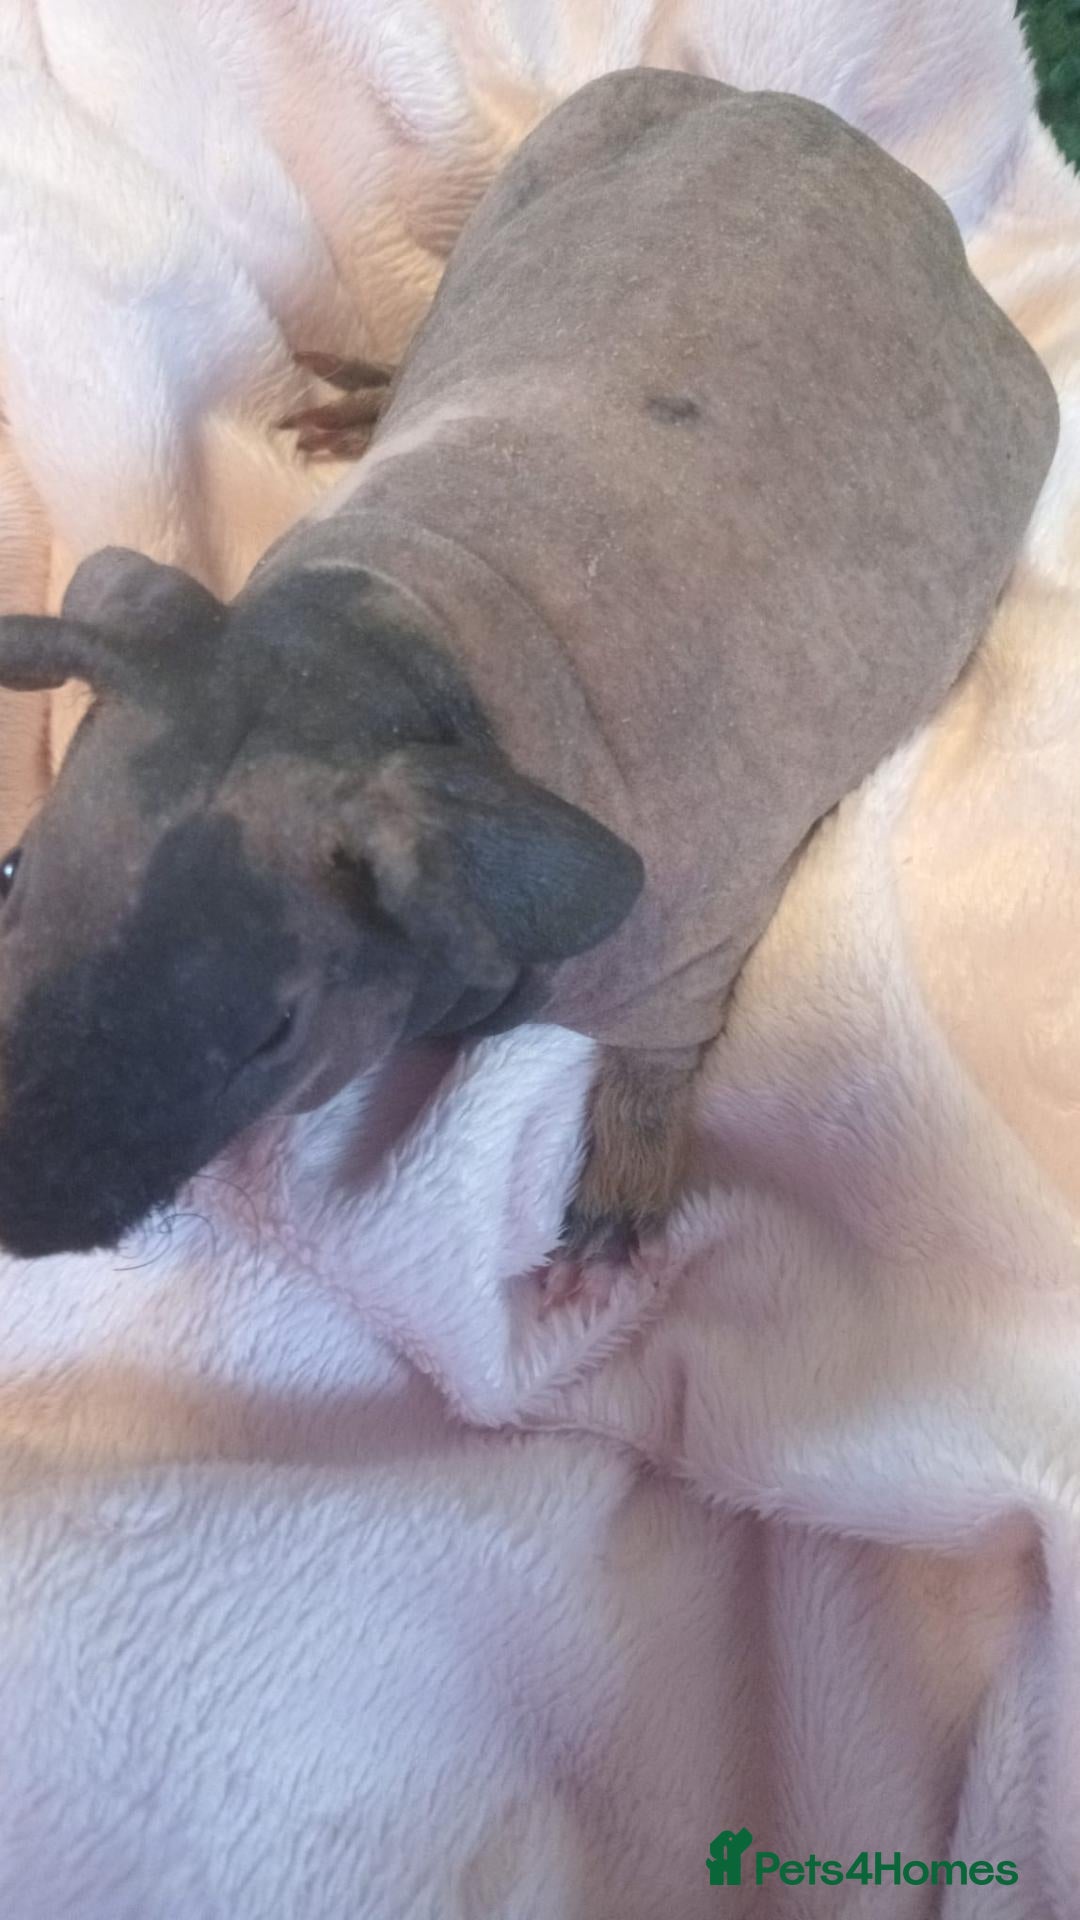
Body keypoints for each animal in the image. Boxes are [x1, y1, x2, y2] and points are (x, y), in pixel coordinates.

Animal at [0, 68, 1058, 1270]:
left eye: (277, 1028)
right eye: (11, 874)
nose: (17, 1213)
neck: (374, 659)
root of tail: (850, 145)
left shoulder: (691, 936)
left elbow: (664, 1050)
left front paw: (610, 1216)